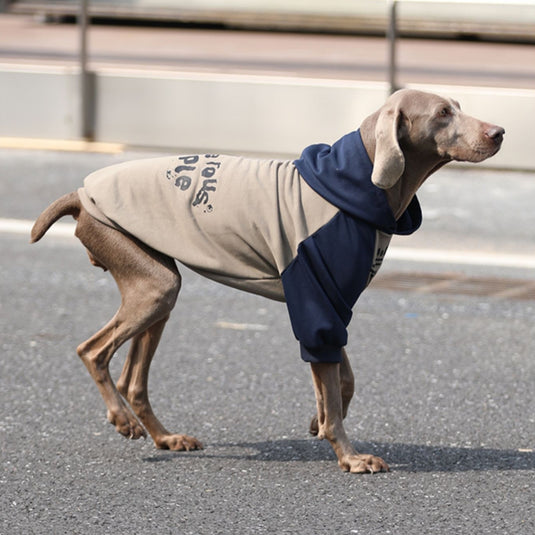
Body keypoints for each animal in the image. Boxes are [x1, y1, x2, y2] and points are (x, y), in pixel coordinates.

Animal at [31, 90, 504, 476]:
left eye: (458, 106)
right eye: (443, 112)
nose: (499, 131)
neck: (360, 188)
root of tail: (81, 193)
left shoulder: (334, 302)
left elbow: (342, 380)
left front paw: (318, 422)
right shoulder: (316, 300)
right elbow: (334, 385)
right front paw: (350, 457)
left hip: (156, 285)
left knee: (133, 378)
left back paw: (165, 437)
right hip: (153, 283)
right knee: (92, 351)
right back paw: (122, 419)